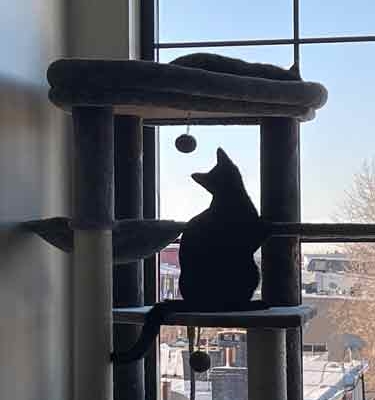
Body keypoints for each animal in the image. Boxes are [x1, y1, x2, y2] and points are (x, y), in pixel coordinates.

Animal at [114, 148, 270, 364]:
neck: (228, 196)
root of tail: (195, 302)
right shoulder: (250, 239)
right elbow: (261, 233)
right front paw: (267, 223)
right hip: (251, 269)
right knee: (232, 305)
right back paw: (255, 304)